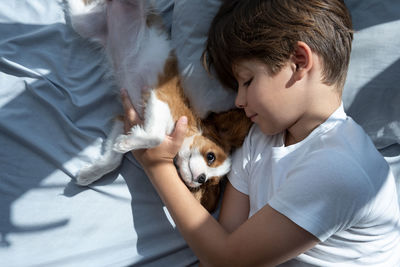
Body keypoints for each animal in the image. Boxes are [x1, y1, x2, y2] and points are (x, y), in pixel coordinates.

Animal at [67, 0, 252, 214]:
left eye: (208, 182)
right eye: (211, 157)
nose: (201, 178)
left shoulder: (124, 120)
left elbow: (114, 159)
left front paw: (91, 172)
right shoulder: (158, 98)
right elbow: (155, 137)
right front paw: (127, 143)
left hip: (82, 22)